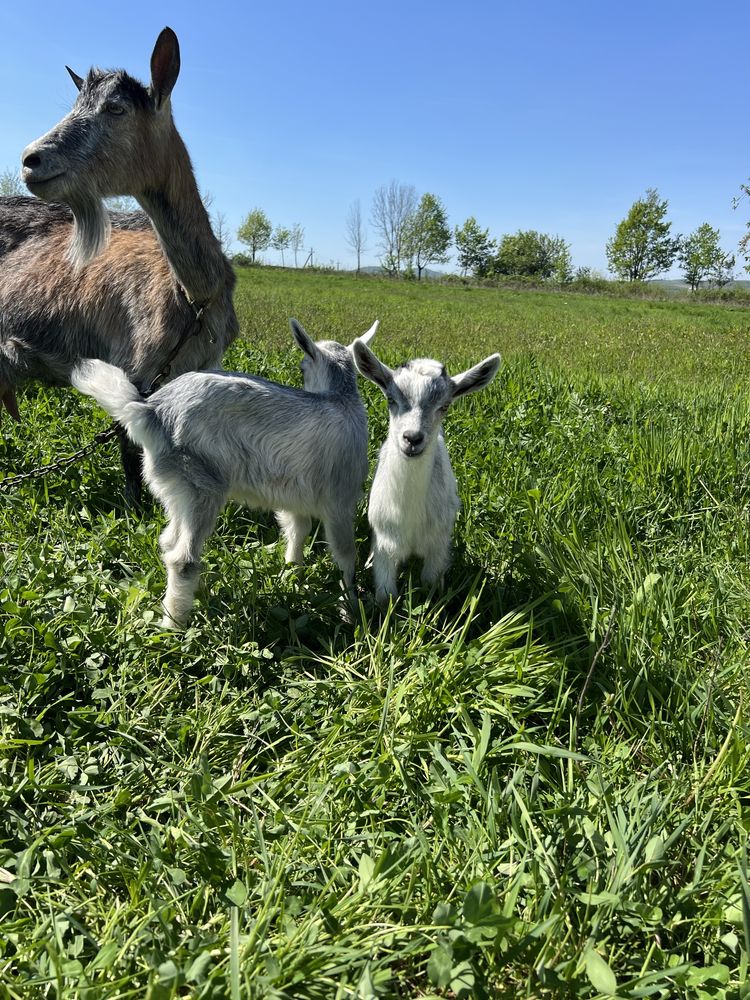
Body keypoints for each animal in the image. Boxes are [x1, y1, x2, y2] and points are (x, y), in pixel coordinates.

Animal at [72, 320, 378, 628]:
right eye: (303, 368)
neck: (341, 399)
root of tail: (152, 411)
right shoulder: (340, 500)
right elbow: (345, 554)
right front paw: (351, 610)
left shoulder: (295, 497)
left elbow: (297, 531)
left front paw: (292, 576)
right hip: (201, 487)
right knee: (183, 558)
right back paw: (174, 625)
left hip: (175, 490)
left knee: (169, 541)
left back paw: (197, 595)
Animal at [354, 344, 506, 604]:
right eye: (391, 399)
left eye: (444, 406)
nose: (412, 438)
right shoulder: (385, 544)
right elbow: (386, 597)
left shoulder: (437, 546)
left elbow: (431, 587)